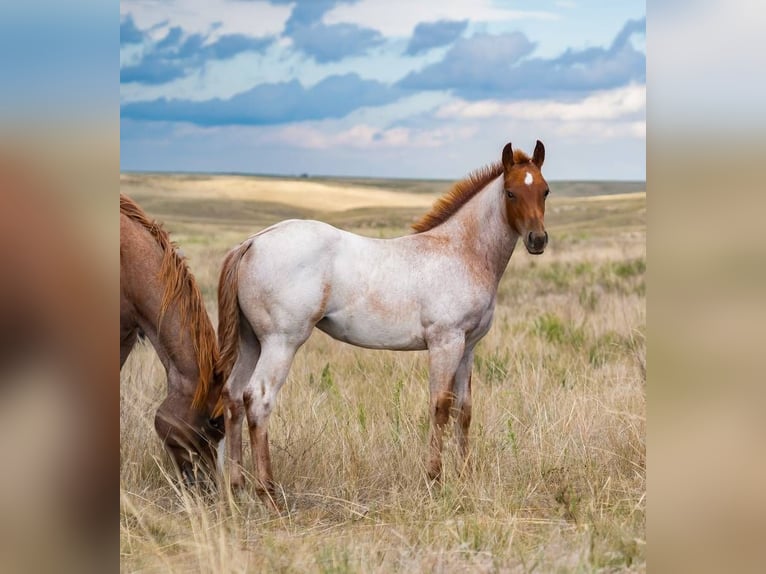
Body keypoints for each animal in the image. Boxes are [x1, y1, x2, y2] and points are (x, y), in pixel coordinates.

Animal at [216, 141, 552, 508]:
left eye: (545, 190)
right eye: (510, 192)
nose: (537, 240)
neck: (462, 252)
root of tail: (252, 242)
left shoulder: (468, 346)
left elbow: (464, 409)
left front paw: (466, 477)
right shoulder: (445, 342)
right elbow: (440, 406)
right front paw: (434, 479)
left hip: (251, 342)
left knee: (233, 396)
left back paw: (237, 487)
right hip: (281, 342)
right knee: (258, 399)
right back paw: (269, 493)